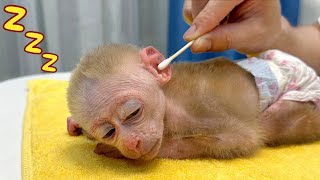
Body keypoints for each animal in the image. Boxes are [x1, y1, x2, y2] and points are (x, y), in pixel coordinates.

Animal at [67, 44, 320, 160]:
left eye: (133, 112)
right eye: (109, 132)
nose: (131, 143)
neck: (168, 100)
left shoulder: (196, 111)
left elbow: (243, 139)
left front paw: (118, 152)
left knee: (276, 124)